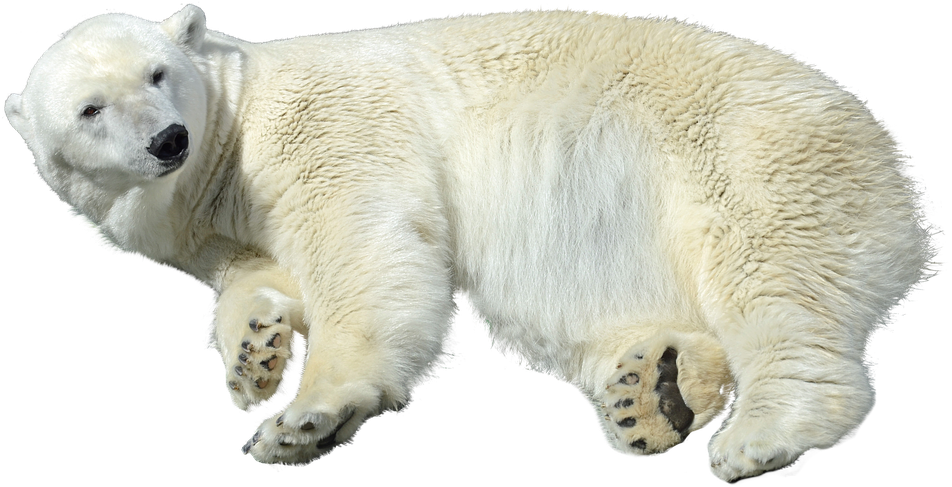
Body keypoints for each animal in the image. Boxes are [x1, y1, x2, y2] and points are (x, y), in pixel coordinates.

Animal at [3, 5, 940, 481]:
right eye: (89, 109)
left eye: (158, 73)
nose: (167, 139)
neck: (228, 140)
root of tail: (908, 194)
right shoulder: (218, 225)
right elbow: (255, 275)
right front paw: (257, 356)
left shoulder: (322, 130)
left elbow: (360, 249)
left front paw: (306, 418)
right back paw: (651, 388)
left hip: (753, 160)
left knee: (770, 280)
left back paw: (763, 433)